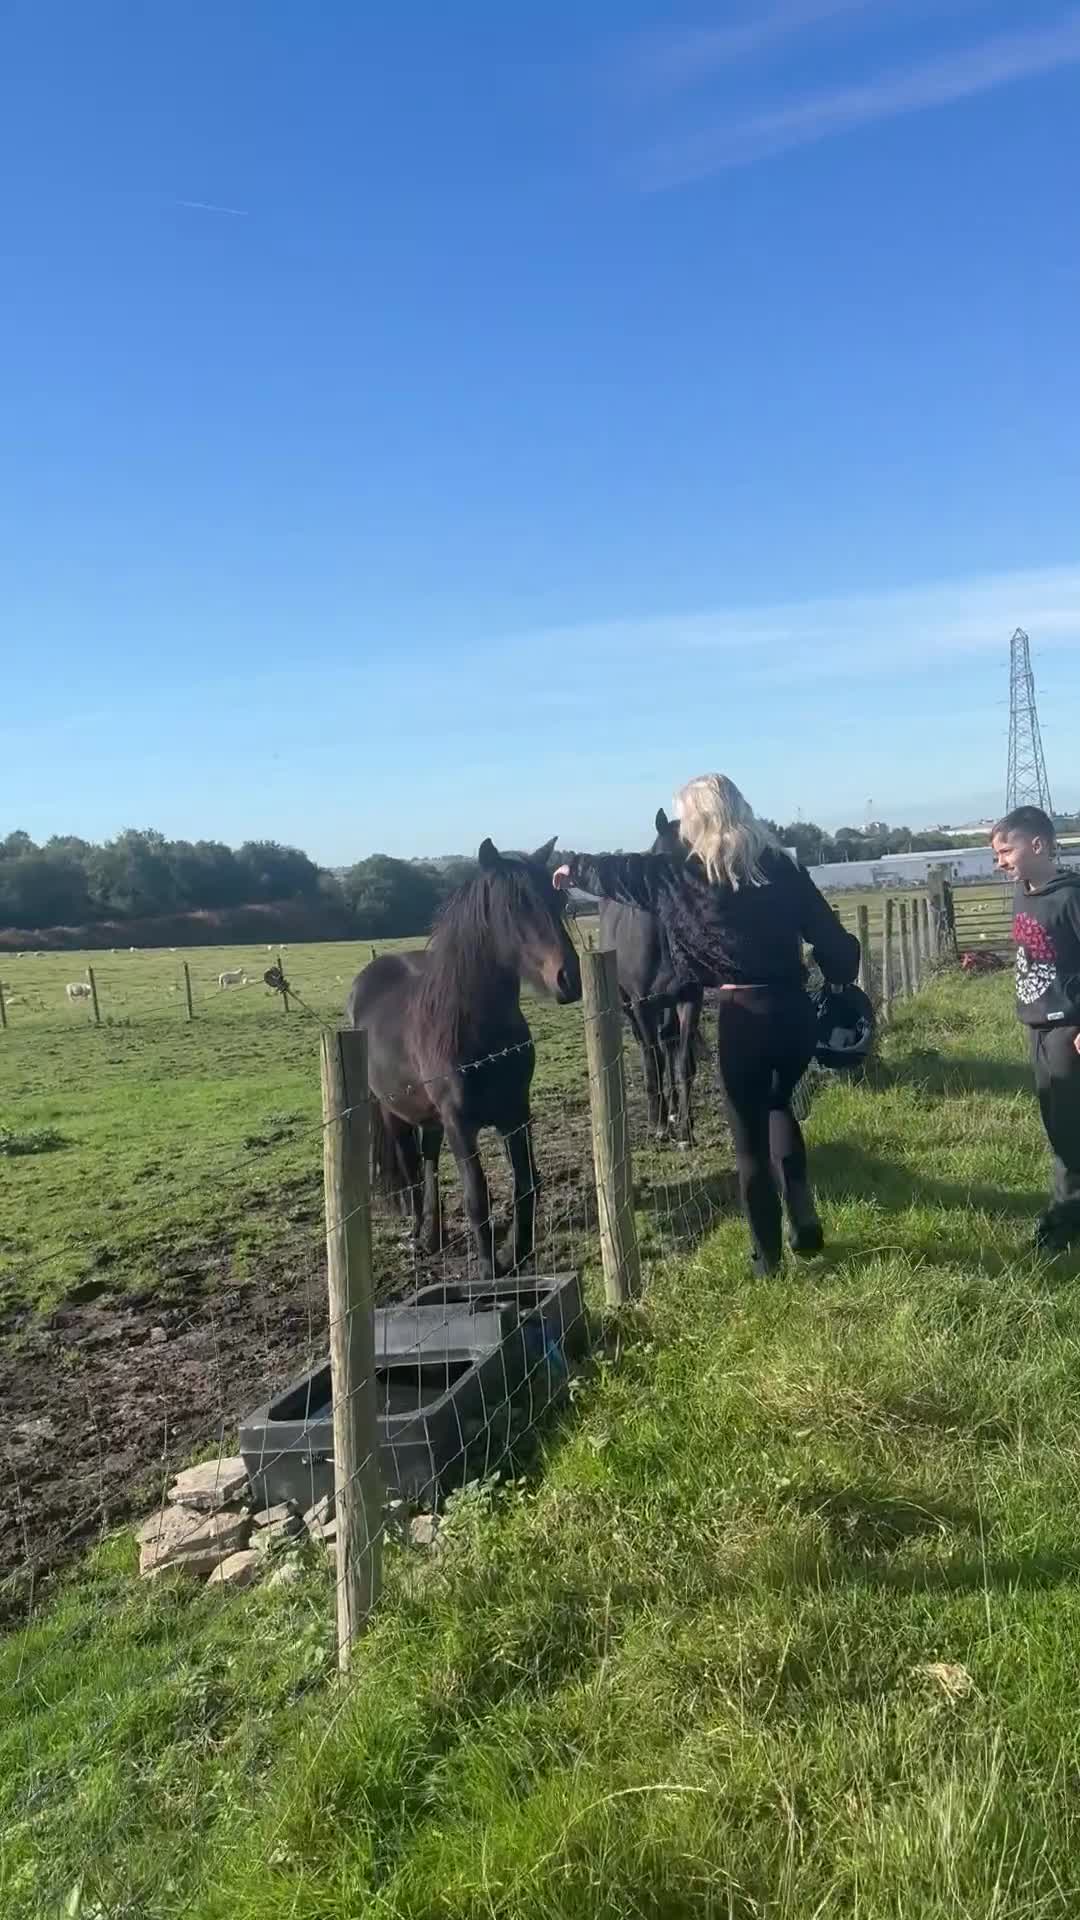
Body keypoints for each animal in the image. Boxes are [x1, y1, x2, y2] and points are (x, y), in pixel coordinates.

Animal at [345, 837, 581, 1279]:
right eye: (513, 907)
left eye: (558, 900)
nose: (568, 979)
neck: (477, 1032)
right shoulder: (460, 1123)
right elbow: (476, 1195)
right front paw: (489, 1270)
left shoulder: (515, 1114)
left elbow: (527, 1183)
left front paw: (517, 1254)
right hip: (394, 1113)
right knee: (412, 1171)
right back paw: (418, 1237)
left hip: (430, 1118)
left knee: (430, 1163)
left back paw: (434, 1235)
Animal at [598, 809, 703, 1146]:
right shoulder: (642, 1005)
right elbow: (652, 1061)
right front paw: (659, 1127)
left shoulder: (689, 999)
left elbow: (683, 1063)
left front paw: (685, 1130)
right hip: (630, 1008)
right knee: (650, 1051)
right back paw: (658, 1116)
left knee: (668, 1043)